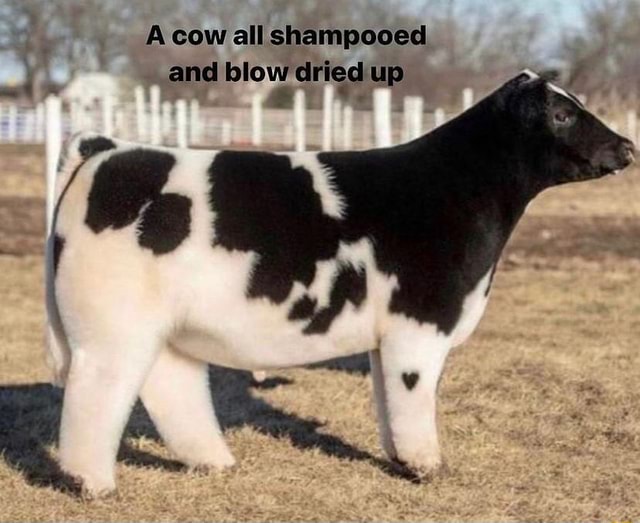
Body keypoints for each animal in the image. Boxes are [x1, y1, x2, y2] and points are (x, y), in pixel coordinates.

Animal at [45, 70, 635, 497]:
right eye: (562, 113)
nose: (627, 146)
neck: (454, 190)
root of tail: (109, 148)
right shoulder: (420, 324)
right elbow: (414, 398)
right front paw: (427, 467)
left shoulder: (388, 336)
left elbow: (387, 400)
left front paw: (399, 460)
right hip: (112, 327)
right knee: (97, 394)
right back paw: (93, 484)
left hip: (164, 327)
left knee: (171, 385)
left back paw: (214, 462)